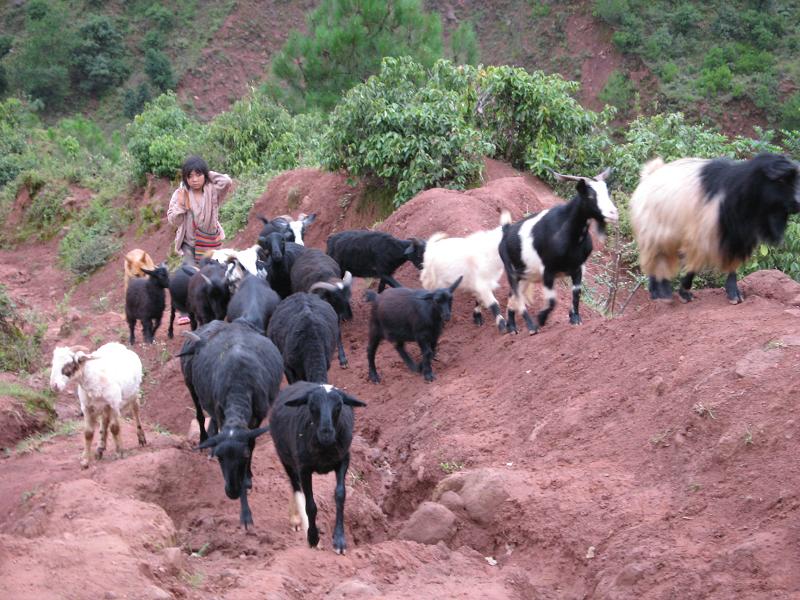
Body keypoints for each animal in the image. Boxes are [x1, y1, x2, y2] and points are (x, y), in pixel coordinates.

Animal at [181, 322, 284, 528]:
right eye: (220, 458)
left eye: (244, 456)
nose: (232, 492)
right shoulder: (222, 414)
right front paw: (245, 514)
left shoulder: (256, 420)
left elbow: (252, 446)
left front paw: (248, 479)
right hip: (192, 387)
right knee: (200, 414)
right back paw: (204, 440)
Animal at [270, 382, 368, 556]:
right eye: (312, 406)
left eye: (339, 406)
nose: (326, 433)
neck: (325, 448)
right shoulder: (304, 468)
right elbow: (310, 505)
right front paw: (313, 538)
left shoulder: (344, 460)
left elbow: (340, 495)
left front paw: (339, 541)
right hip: (286, 458)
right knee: (296, 487)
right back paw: (297, 520)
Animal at [500, 169, 620, 336]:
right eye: (590, 195)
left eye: (607, 192)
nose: (613, 213)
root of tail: (505, 233)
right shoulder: (548, 270)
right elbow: (552, 300)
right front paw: (541, 319)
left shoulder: (578, 268)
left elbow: (576, 293)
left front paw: (575, 317)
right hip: (512, 272)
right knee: (517, 297)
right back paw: (526, 327)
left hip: (526, 276)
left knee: (513, 296)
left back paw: (512, 326)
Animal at [632, 154, 800, 302]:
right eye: (781, 180)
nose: (798, 203)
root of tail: (649, 174)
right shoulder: (704, 235)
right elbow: (694, 266)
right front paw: (684, 293)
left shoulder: (737, 238)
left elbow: (732, 265)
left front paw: (734, 294)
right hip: (654, 232)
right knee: (656, 258)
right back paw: (659, 293)